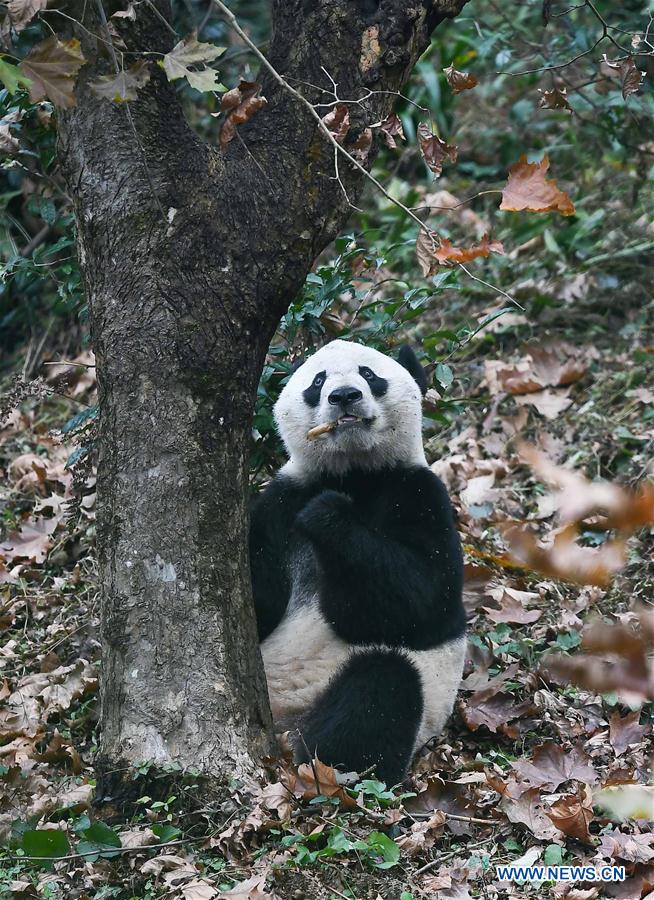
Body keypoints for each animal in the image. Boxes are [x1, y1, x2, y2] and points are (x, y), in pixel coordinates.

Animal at [249, 339, 465, 785]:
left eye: (369, 374)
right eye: (317, 381)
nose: (344, 396)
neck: (353, 472)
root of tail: (281, 724)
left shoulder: (420, 493)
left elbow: (425, 602)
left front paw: (327, 515)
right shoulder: (280, 501)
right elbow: (257, 596)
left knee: (382, 685)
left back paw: (326, 766)